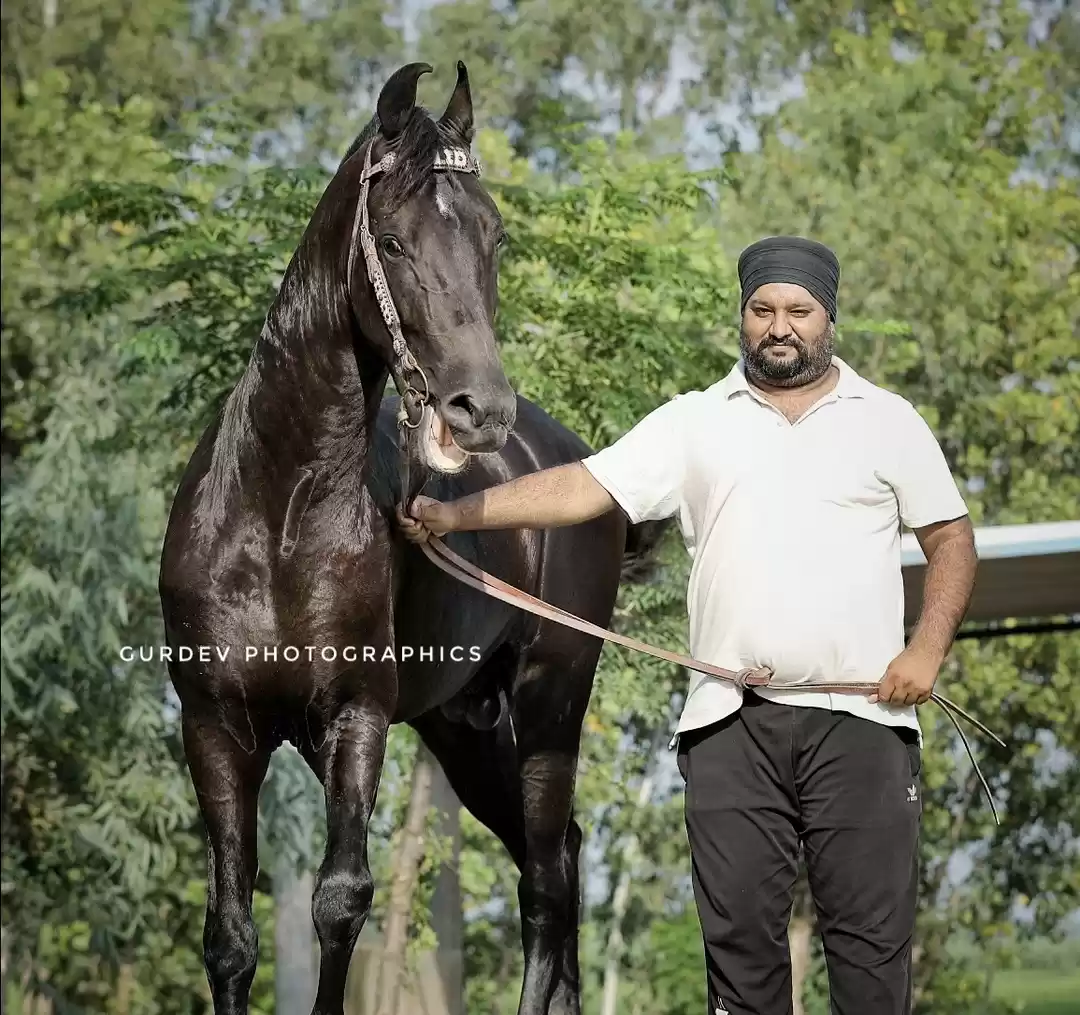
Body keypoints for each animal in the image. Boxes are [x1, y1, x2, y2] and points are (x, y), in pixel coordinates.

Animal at [158, 61, 667, 1015]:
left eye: (493, 237)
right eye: (392, 243)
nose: (480, 409)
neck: (277, 516)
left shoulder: (356, 716)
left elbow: (339, 899)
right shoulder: (214, 726)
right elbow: (231, 935)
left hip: (550, 705)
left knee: (546, 882)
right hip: (464, 730)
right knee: (565, 855)